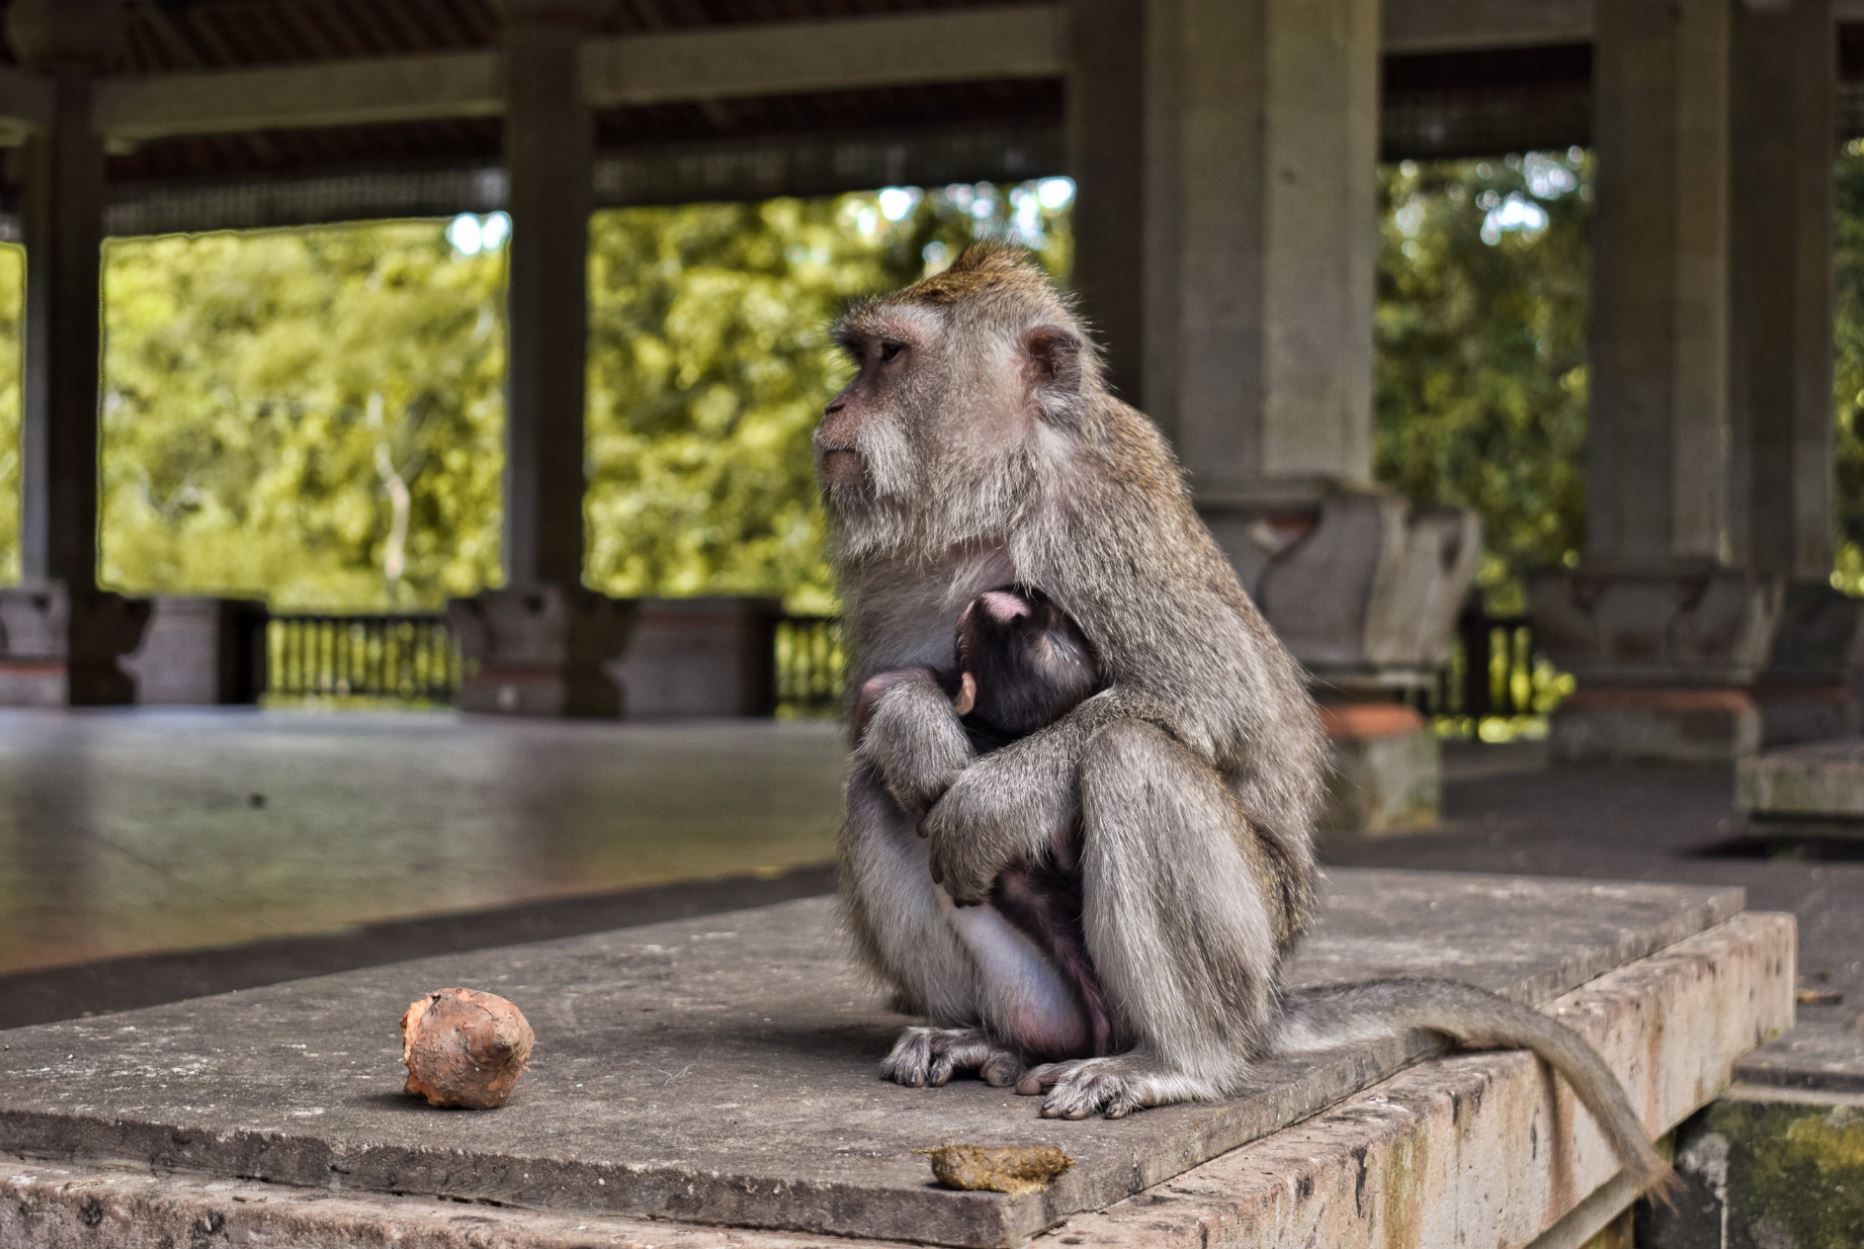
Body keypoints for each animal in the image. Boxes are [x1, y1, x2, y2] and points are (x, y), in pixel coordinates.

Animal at [817, 243, 1674, 1197]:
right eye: (863, 358)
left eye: (890, 358)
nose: (834, 407)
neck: (1001, 490)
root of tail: (1267, 1001)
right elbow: (873, 711)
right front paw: (914, 725)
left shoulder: (1102, 526)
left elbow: (1209, 694)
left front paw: (985, 801)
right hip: (1052, 994)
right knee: (873, 787)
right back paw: (984, 1036)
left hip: (1244, 946)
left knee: (1132, 755)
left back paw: (1175, 1061)